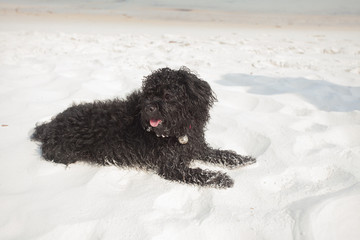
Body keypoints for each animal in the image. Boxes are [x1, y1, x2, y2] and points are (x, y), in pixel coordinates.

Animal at [31, 67, 256, 188]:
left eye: (168, 95)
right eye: (148, 94)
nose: (148, 108)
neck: (178, 131)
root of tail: (49, 126)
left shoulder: (197, 147)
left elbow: (221, 154)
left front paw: (243, 159)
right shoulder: (171, 167)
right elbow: (200, 174)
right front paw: (221, 178)